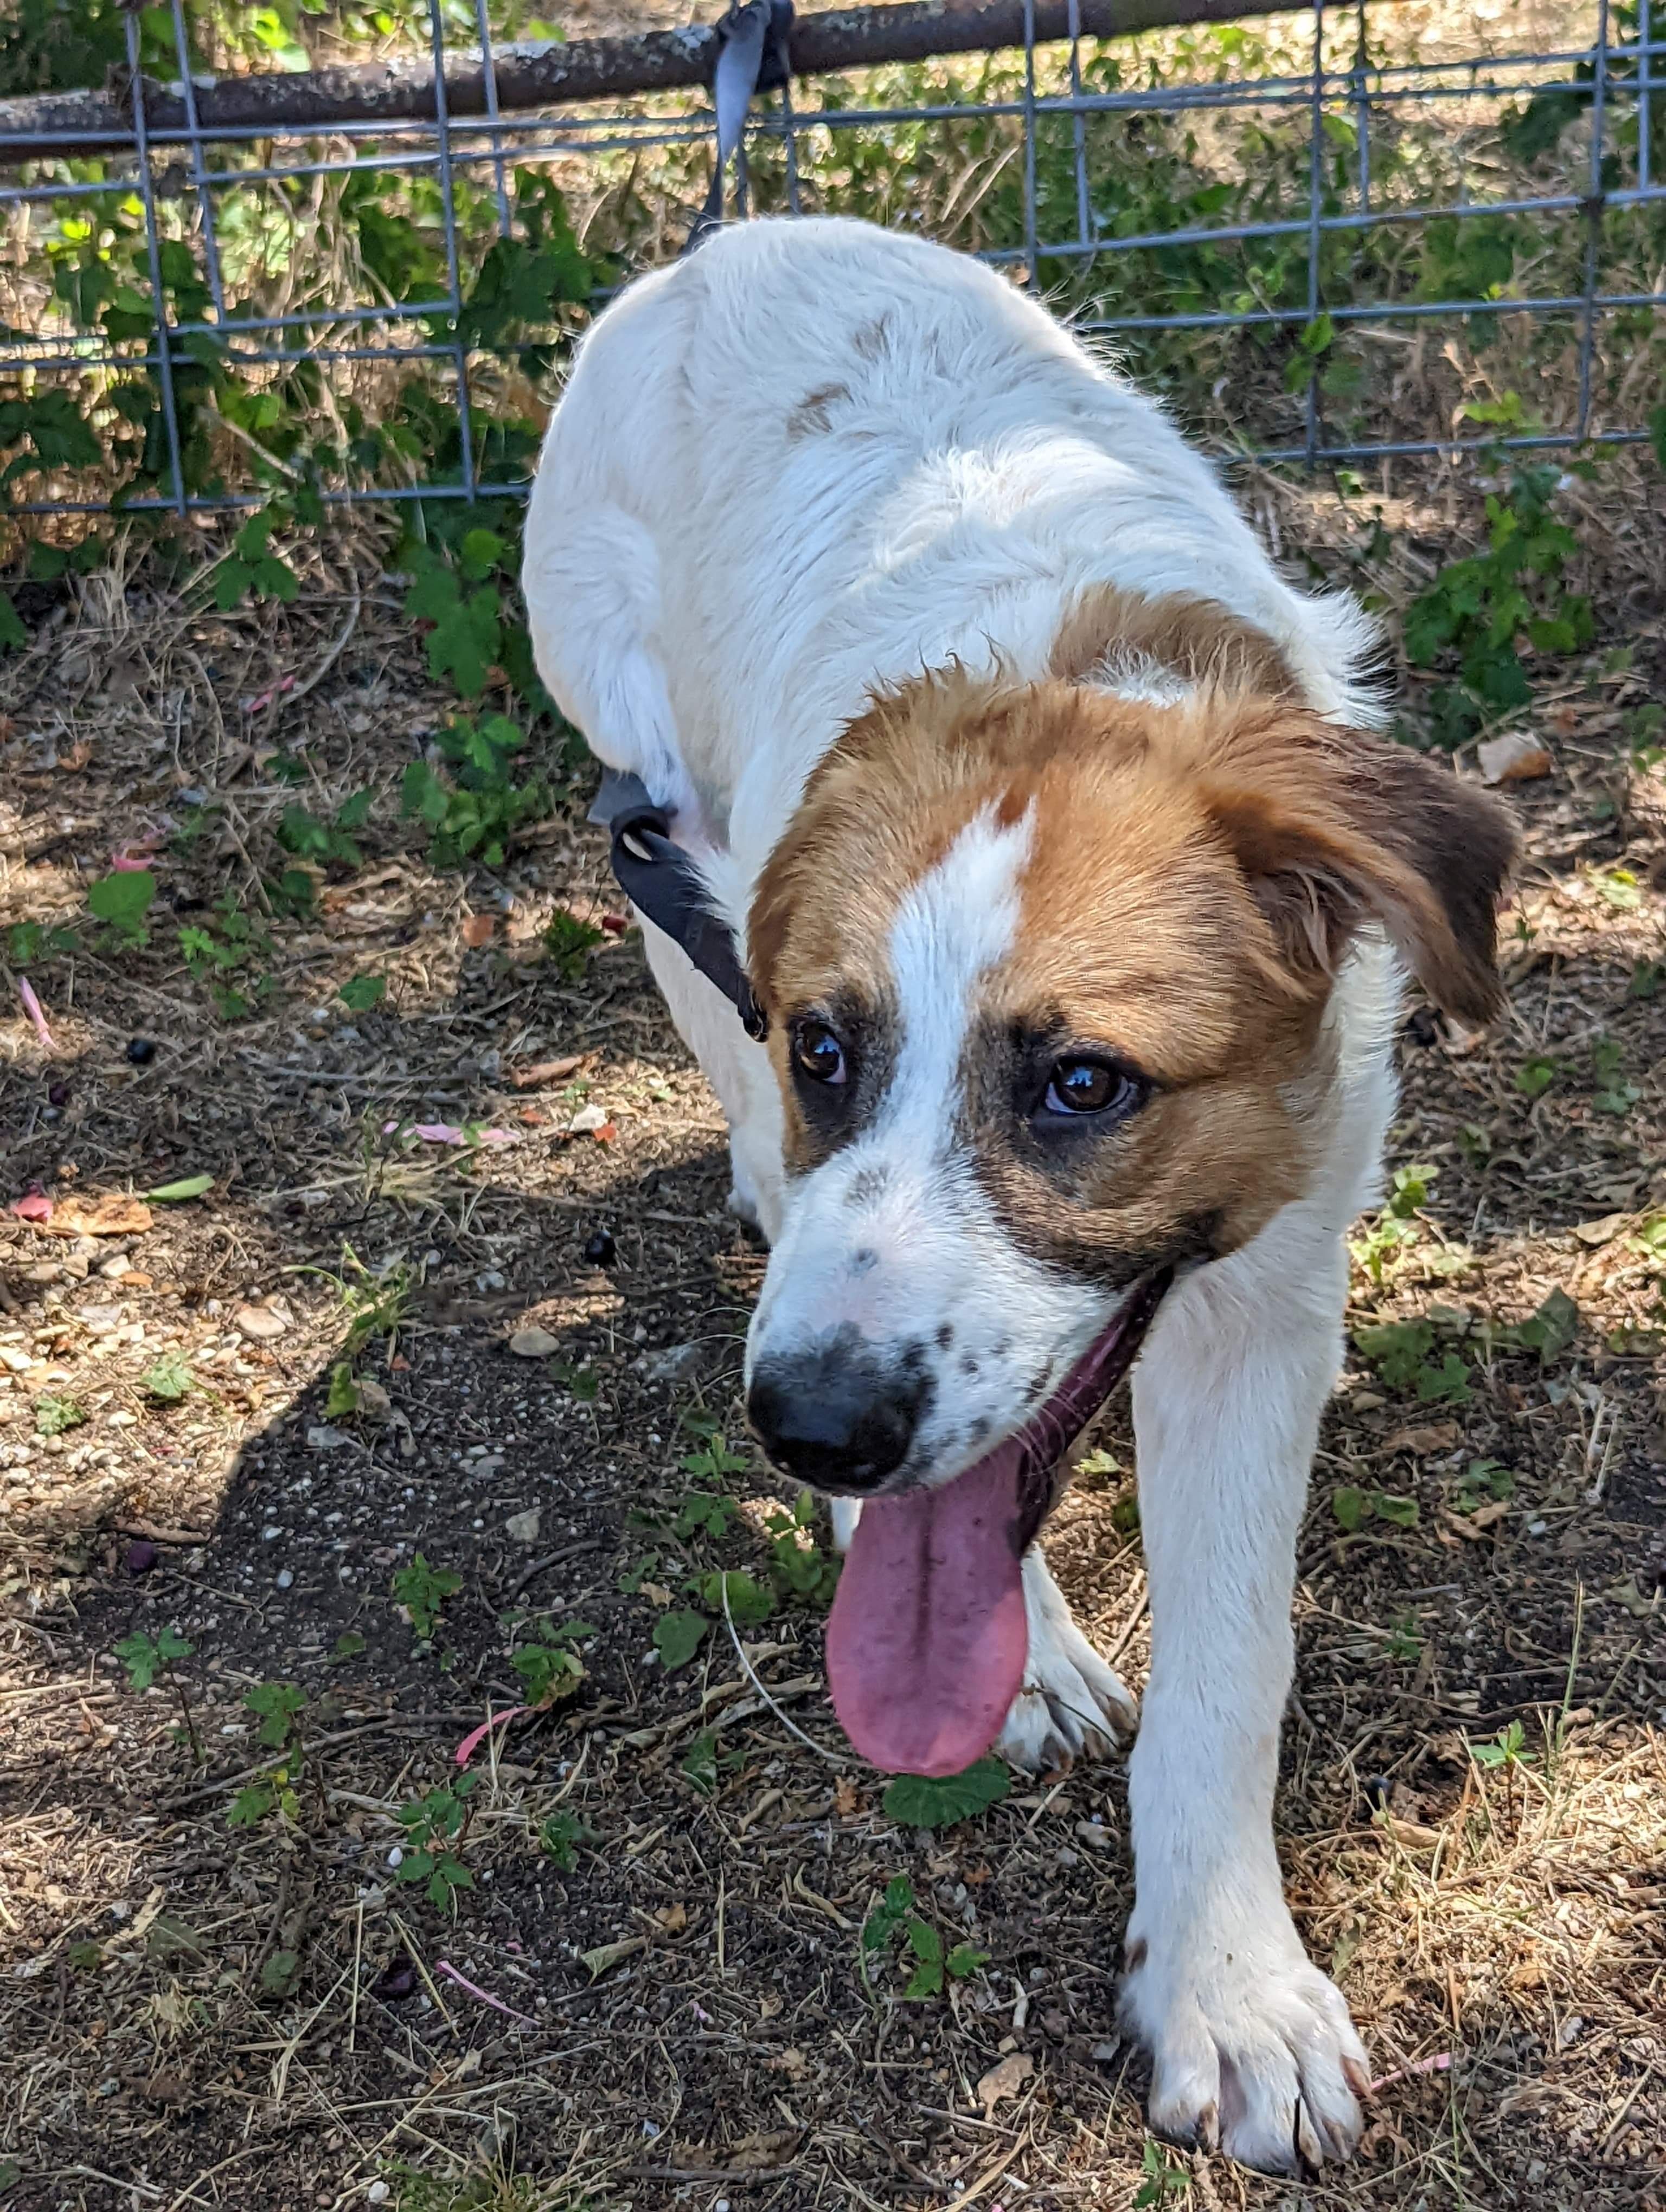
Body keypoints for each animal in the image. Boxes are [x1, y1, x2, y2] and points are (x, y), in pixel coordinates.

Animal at [522, 220, 1522, 2159]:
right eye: (830, 1046)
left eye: (1083, 1088)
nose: (811, 1431)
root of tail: (731, 235)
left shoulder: (1268, 1292)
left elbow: (1233, 1667)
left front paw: (1226, 1986)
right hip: (653, 824)